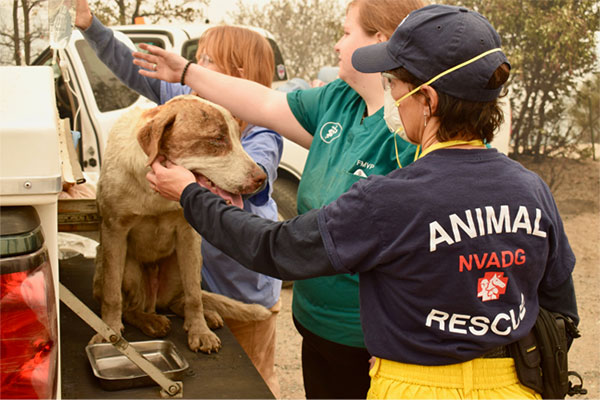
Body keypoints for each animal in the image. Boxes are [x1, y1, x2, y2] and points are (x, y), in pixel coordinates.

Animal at [90, 95, 270, 352]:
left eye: (238, 136)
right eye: (217, 139)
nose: (262, 179)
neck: (154, 194)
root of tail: (154, 301)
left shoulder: (189, 236)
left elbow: (194, 295)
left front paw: (200, 331)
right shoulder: (114, 231)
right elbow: (112, 295)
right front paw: (110, 332)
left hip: (183, 263)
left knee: (181, 299)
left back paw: (206, 315)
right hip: (129, 268)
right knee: (130, 308)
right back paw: (150, 320)